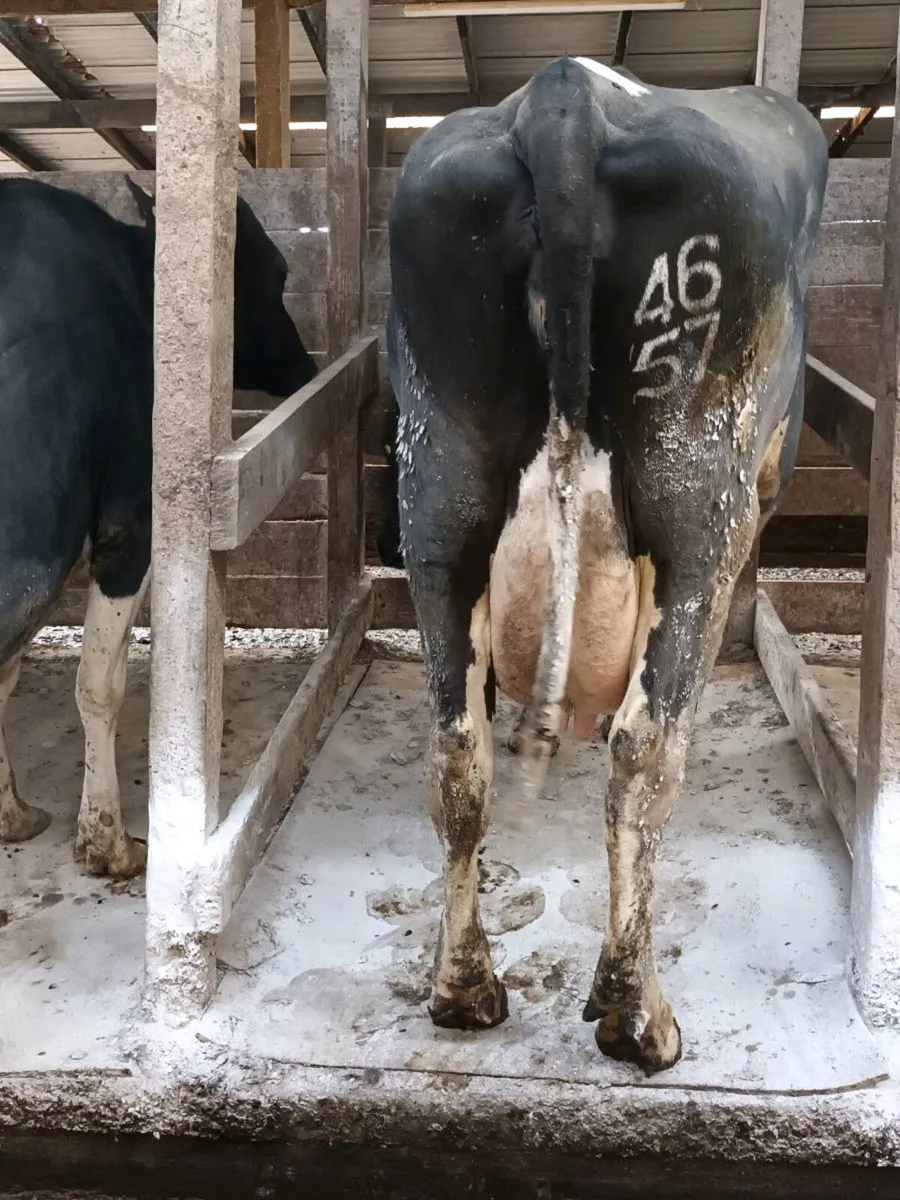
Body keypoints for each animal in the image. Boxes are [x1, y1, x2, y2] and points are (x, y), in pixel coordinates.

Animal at [0, 175, 316, 879]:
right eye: (278, 270)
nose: (306, 369)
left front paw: (12, 814)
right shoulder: (132, 532)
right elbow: (98, 685)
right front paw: (107, 843)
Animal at [386, 56, 827, 1073]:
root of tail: (563, 94)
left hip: (437, 493)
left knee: (458, 748)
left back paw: (462, 988)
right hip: (699, 496)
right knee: (646, 750)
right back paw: (637, 1015)